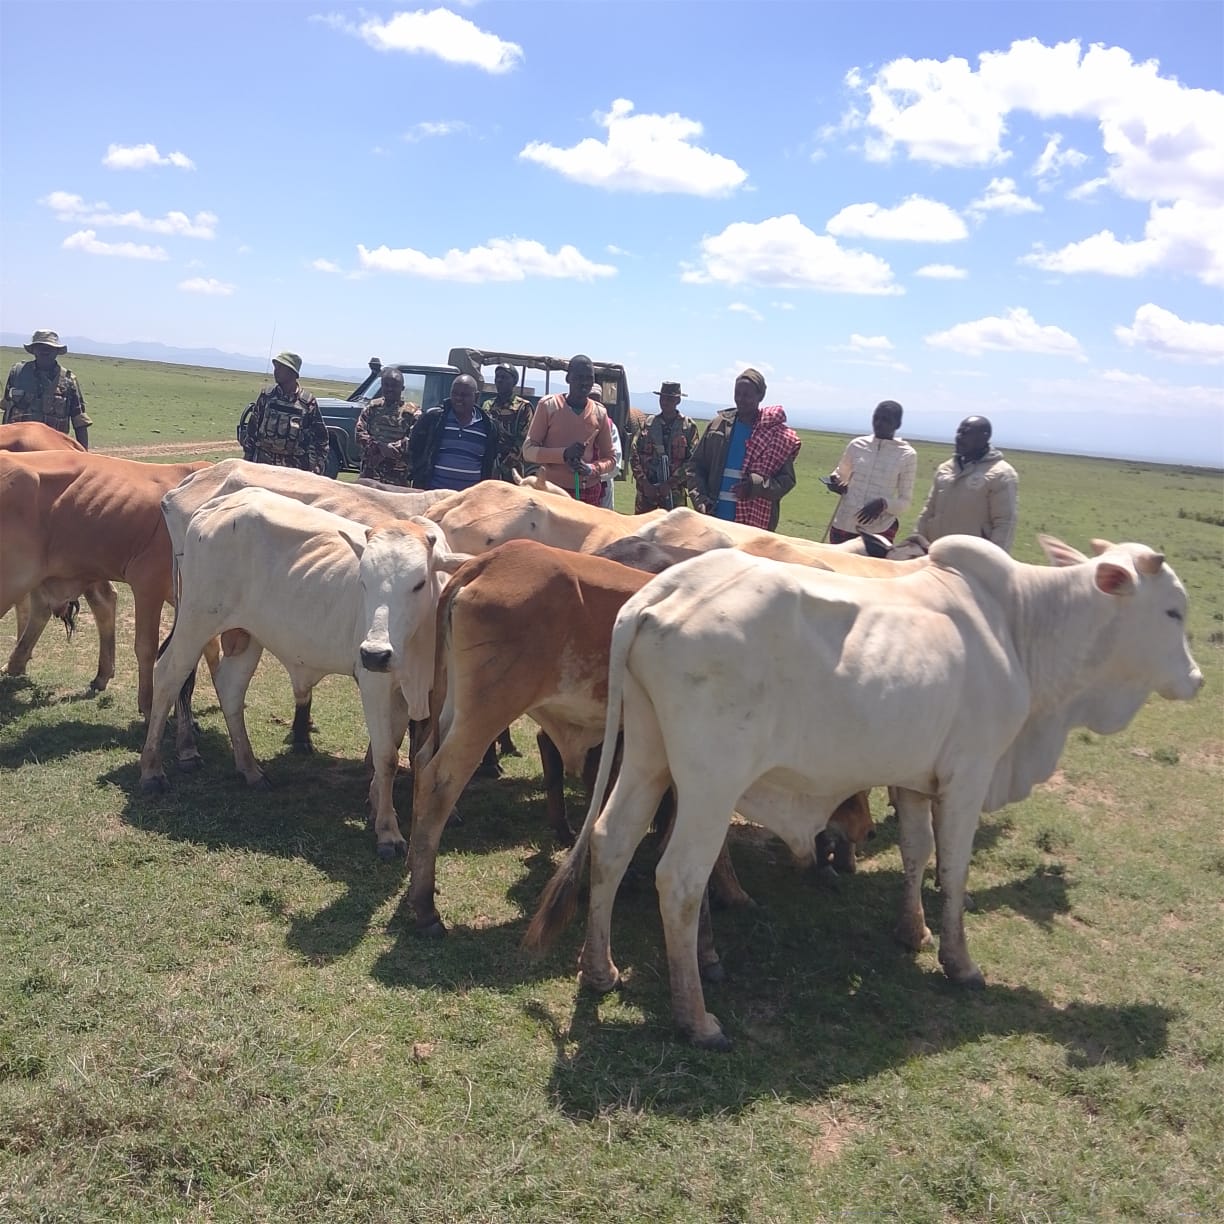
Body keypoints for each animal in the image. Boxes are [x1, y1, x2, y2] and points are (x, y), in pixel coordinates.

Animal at [137, 488, 468, 858]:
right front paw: (388, 832)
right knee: (169, 675)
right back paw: (152, 771)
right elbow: (386, 757)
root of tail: (217, 505)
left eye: (419, 583)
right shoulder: (376, 683)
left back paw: (250, 770)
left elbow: (412, 750)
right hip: (197, 619)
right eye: (363, 581)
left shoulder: (437, 692)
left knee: (230, 688)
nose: (375, 653)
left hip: (247, 634)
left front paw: (383, 805)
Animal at [525, 535, 1203, 1049]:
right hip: (710, 784)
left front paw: (912, 931)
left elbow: (916, 853)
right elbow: (954, 870)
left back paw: (600, 969)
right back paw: (696, 1017)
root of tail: (656, 595)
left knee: (612, 842)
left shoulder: (915, 779)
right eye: (1173, 612)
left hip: (647, 755)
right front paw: (959, 962)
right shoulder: (968, 774)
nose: (1197, 680)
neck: (1020, 630)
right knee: (680, 877)